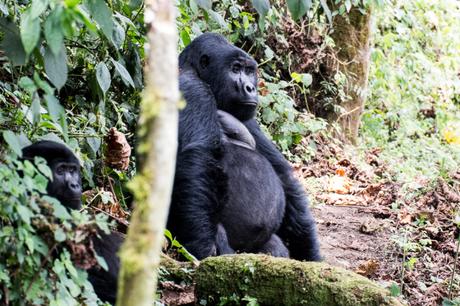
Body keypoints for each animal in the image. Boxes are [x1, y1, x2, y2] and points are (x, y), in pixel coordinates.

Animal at [167, 33, 322, 262]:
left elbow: (283, 175)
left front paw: (309, 250)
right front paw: (201, 247)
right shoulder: (191, 89)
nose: (251, 88)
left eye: (249, 71)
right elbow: (199, 157)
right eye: (235, 69)